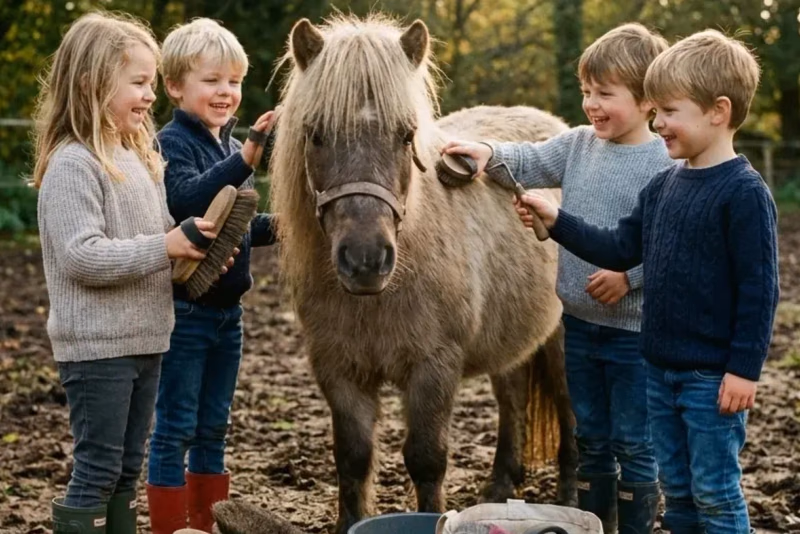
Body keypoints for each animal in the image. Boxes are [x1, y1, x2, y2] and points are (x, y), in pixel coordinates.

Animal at [269, 14, 578, 534]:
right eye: (316, 135)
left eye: (405, 135)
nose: (366, 259)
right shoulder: (338, 370)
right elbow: (352, 459)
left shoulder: (434, 367)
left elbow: (426, 459)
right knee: (511, 398)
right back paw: (500, 486)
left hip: (561, 341)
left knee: (571, 413)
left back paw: (573, 496)